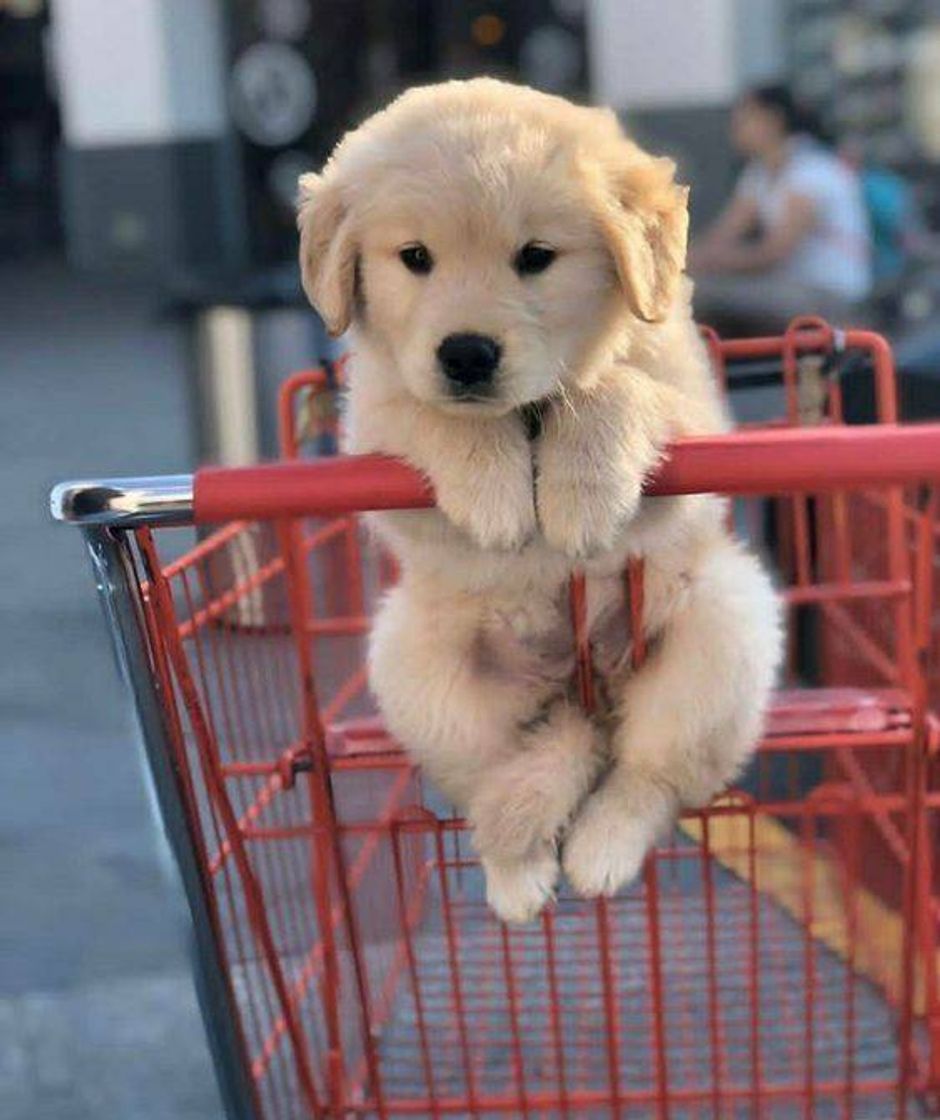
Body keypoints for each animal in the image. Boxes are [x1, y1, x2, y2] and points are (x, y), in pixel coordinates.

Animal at [298, 76, 784, 918]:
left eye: (536, 258)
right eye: (414, 258)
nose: (466, 355)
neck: (525, 412)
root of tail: (583, 693)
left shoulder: (695, 417)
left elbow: (612, 387)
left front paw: (580, 493)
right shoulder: (373, 431)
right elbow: (434, 415)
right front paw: (496, 493)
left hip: (724, 627)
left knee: (649, 775)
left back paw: (601, 850)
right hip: (417, 669)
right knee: (493, 783)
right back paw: (518, 873)